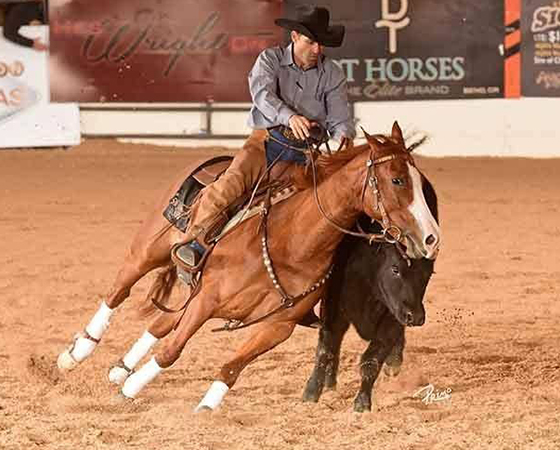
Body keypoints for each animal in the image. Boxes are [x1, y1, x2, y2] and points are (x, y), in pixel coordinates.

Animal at [58, 123, 442, 412]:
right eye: (397, 180)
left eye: (421, 182)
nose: (431, 237)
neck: (291, 243)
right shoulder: (207, 300)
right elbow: (171, 351)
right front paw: (131, 389)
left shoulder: (278, 327)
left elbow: (231, 367)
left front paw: (206, 406)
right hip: (147, 253)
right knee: (118, 293)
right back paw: (76, 353)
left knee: (160, 323)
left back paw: (120, 370)